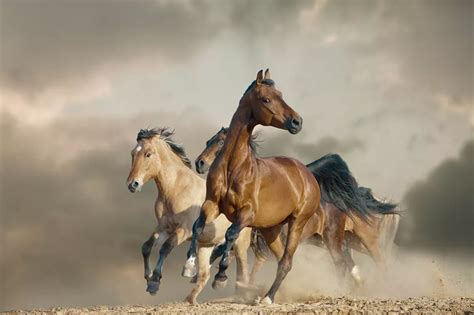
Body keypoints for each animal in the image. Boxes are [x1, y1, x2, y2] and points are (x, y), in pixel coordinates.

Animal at [183, 69, 320, 306]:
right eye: (267, 99)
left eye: (280, 95)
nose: (297, 121)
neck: (233, 167)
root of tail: (308, 176)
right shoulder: (212, 205)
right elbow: (197, 227)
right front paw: (190, 267)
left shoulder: (246, 214)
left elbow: (230, 235)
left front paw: (220, 277)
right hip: (270, 229)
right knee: (280, 259)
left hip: (297, 222)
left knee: (286, 261)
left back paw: (267, 298)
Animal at [195, 126, 400, 286]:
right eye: (207, 141)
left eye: (221, 142)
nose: (200, 163)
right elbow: (225, 251)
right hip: (341, 241)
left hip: (367, 240)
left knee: (380, 262)